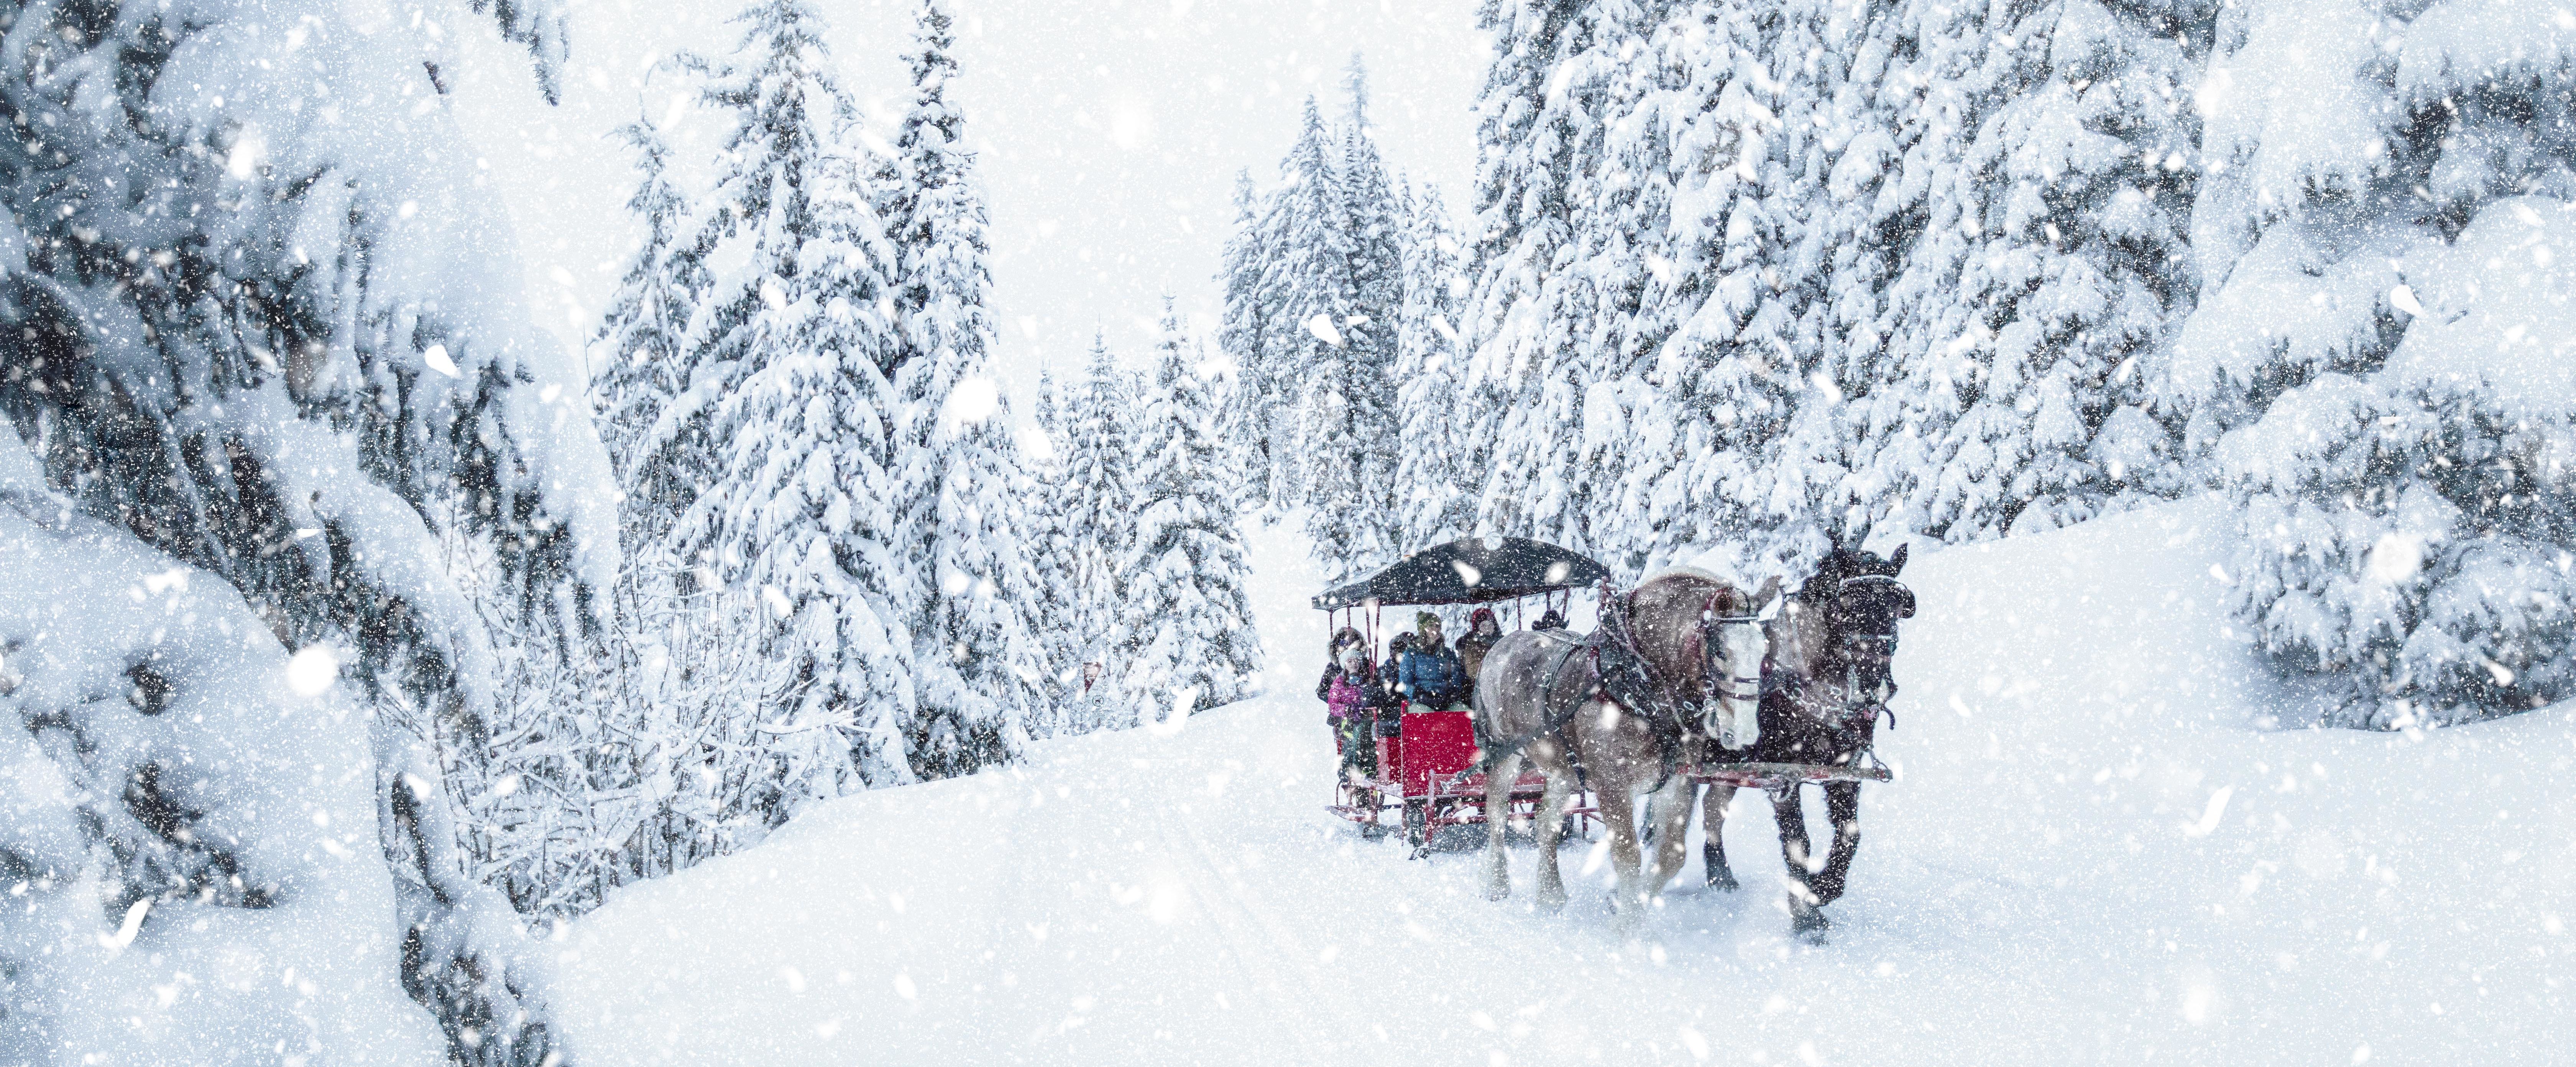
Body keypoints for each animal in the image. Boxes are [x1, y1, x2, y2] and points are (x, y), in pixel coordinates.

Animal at [1484, 572, 1783, 927]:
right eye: (1721, 651)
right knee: (1497, 814)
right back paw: (1498, 886)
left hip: (1562, 770)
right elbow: (1628, 857)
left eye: (1765, 649)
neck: (1636, 688)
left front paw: (1627, 907)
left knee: (1547, 822)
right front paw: (1626, 928)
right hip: (1505, 756)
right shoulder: (1612, 786)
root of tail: (1500, 647)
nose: (1746, 734)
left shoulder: (1677, 783)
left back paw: (1551, 895)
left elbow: (1671, 856)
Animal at [1700, 546, 1906, 938]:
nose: (1877, 682)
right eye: (1847, 605)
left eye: (1897, 608)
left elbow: (1850, 835)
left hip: (1731, 768)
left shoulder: (1844, 773)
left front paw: (1823, 888)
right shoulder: (1783, 776)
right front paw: (1806, 916)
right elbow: (1798, 841)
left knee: (1712, 809)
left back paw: (1720, 875)